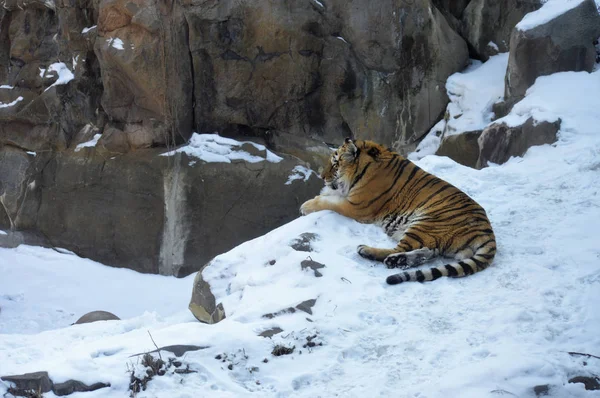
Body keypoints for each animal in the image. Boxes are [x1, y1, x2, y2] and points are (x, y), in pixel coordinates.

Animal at [300, 138, 496, 284]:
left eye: (335, 164)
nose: (321, 177)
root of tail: (487, 231)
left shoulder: (356, 207)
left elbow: (328, 202)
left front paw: (306, 206)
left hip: (426, 223)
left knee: (398, 249)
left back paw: (368, 251)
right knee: (428, 252)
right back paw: (399, 261)